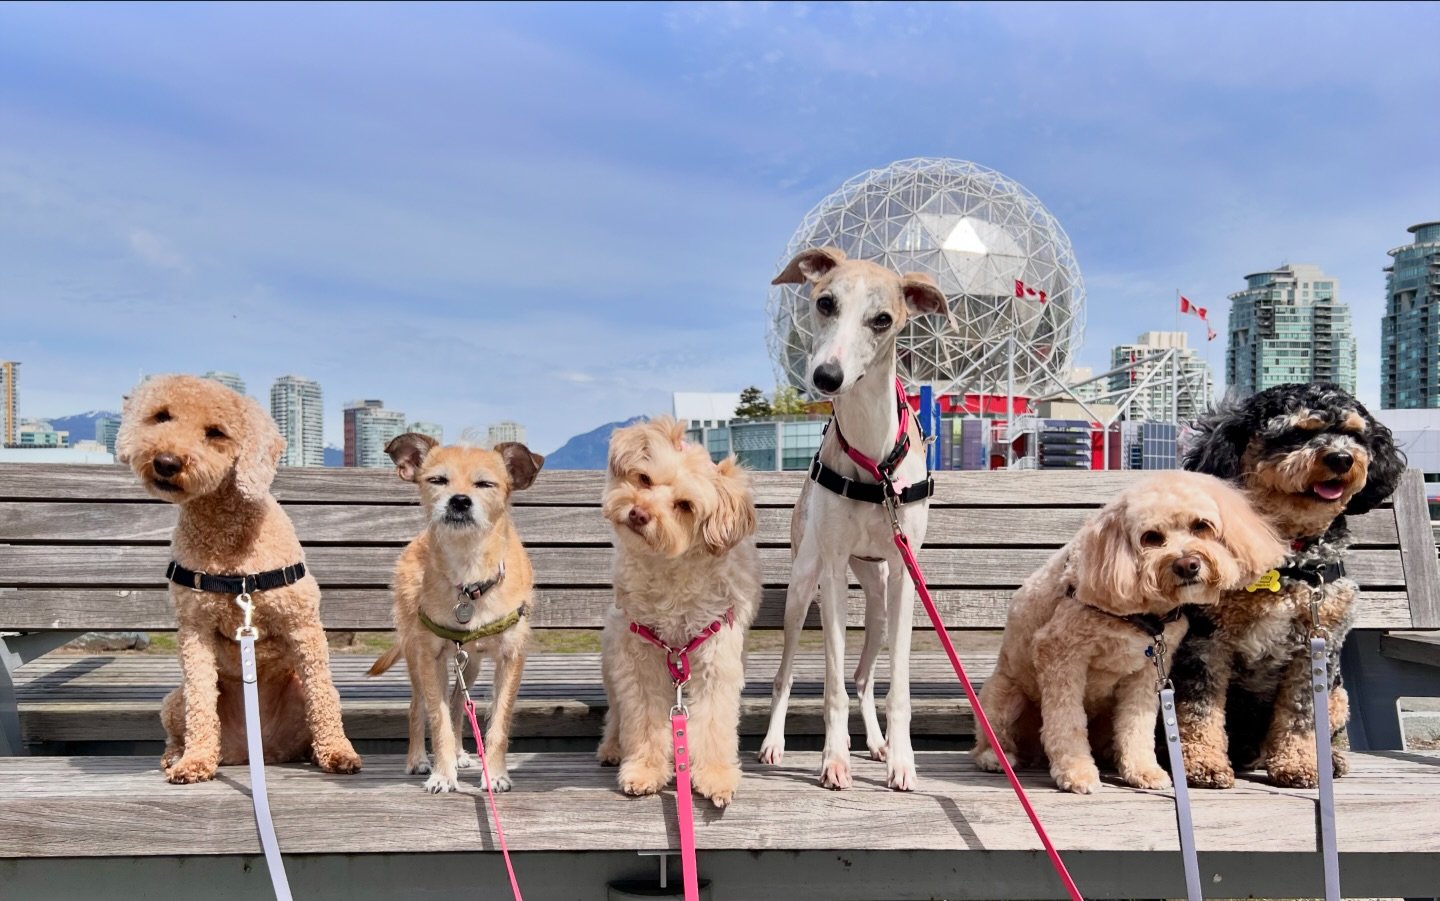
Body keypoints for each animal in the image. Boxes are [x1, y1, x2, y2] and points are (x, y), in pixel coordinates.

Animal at [118, 371, 365, 777]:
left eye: (216, 432)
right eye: (161, 416)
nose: (166, 462)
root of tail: (257, 750)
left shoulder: (302, 623)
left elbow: (322, 697)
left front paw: (337, 752)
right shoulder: (195, 630)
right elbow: (201, 699)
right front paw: (195, 760)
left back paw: (315, 752)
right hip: (173, 700)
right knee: (178, 723)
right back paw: (177, 755)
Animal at [371, 431, 544, 788]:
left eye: (485, 484)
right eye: (437, 480)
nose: (460, 501)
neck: (469, 575)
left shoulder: (511, 658)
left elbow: (498, 722)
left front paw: (495, 774)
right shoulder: (430, 657)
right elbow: (437, 721)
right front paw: (442, 773)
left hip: (471, 663)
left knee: (456, 702)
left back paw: (462, 754)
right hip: (415, 654)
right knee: (417, 706)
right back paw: (418, 759)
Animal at [1169, 379, 1405, 782]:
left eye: (1354, 434)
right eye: (1295, 433)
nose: (1341, 458)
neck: (1286, 565)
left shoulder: (1315, 648)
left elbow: (1301, 715)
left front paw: (1297, 764)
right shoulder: (1205, 641)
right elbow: (1199, 708)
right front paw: (1202, 763)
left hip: (1338, 695)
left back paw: (1331, 760)